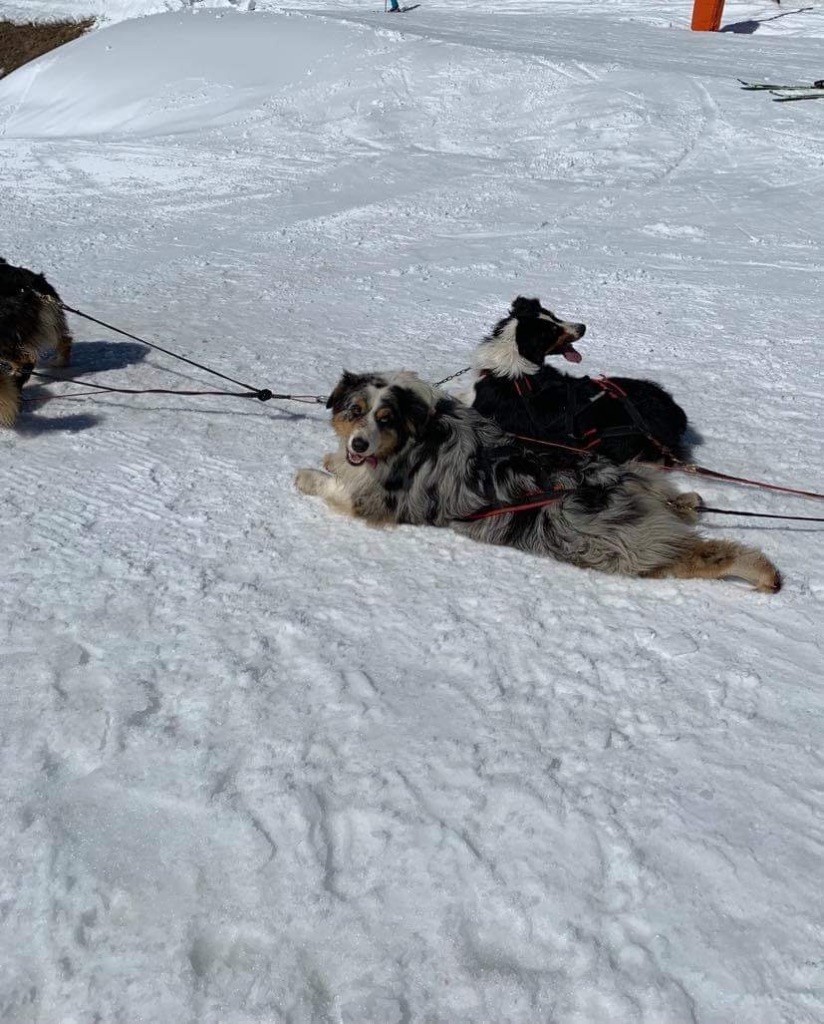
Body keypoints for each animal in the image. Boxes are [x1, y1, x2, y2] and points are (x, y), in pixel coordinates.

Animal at [294, 370, 777, 593]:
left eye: (384, 418)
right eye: (354, 411)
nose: (358, 443)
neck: (418, 427)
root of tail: (615, 483)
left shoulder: (382, 503)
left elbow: (337, 489)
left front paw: (308, 475)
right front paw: (335, 458)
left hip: (616, 545)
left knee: (709, 554)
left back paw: (764, 574)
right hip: (644, 489)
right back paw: (693, 500)